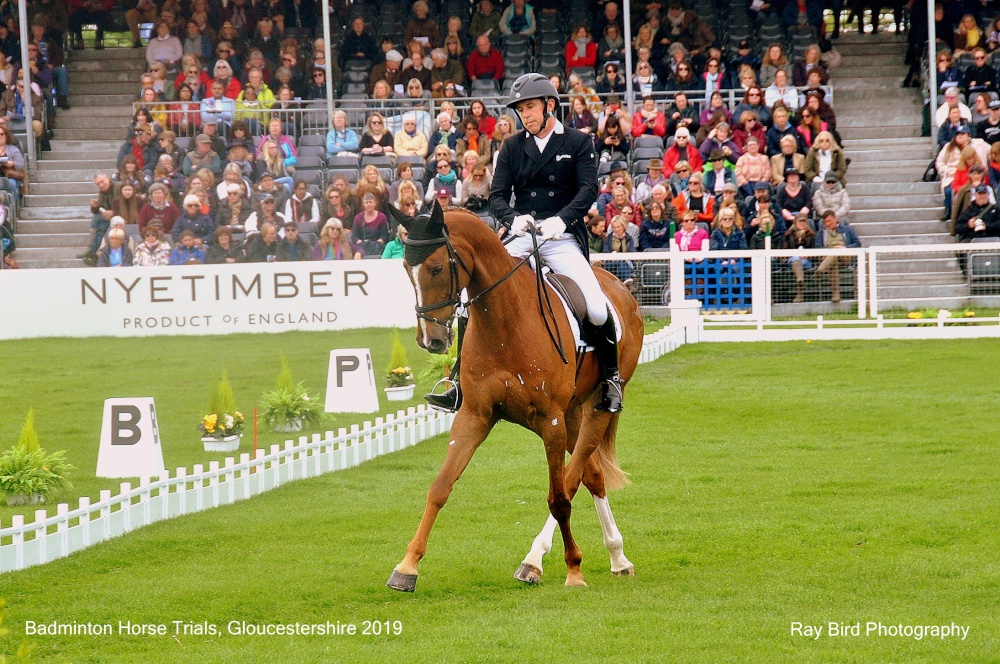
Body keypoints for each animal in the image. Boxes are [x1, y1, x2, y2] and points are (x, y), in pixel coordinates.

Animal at [386, 204, 644, 592]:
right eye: (405, 268)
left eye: (436, 268)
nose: (430, 340)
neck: (505, 321)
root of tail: (620, 288)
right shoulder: (474, 415)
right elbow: (440, 487)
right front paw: (407, 567)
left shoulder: (550, 422)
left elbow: (559, 498)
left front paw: (573, 570)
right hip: (571, 415)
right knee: (593, 475)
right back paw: (617, 556)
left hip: (594, 409)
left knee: (573, 478)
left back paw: (536, 559)